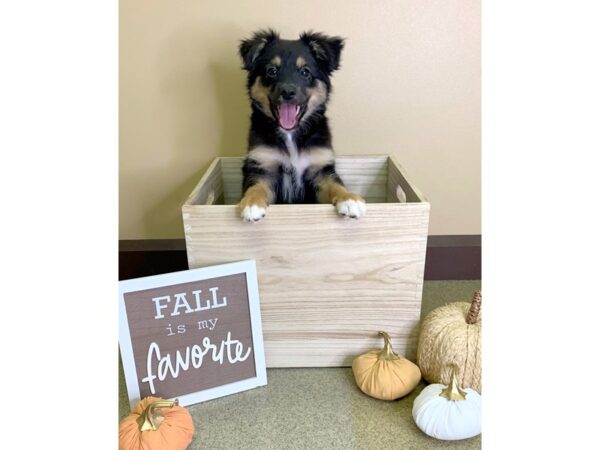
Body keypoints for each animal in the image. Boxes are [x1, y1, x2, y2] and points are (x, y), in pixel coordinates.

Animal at [237, 29, 364, 222]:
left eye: (305, 72)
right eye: (272, 71)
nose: (288, 92)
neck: (290, 135)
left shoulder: (320, 171)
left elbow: (336, 184)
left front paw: (349, 199)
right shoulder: (262, 166)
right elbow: (256, 186)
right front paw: (251, 204)